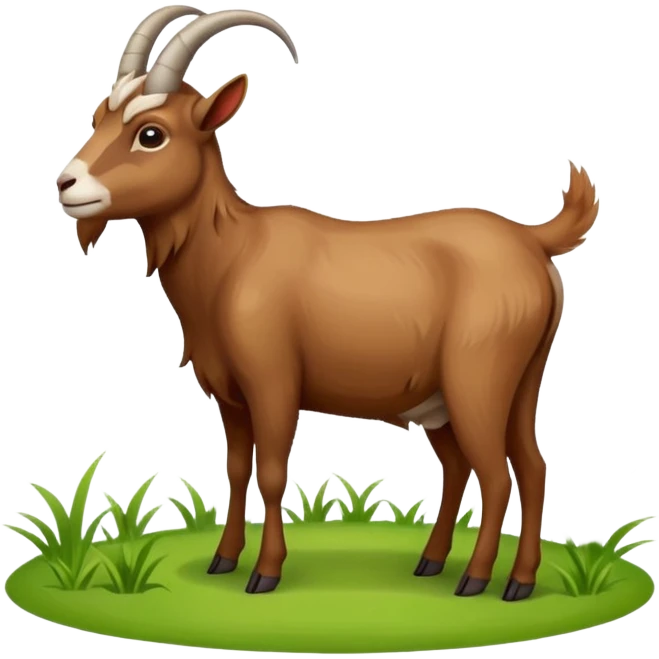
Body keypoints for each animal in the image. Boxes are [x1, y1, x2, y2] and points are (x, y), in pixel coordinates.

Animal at [56, 6, 600, 601]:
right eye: (98, 118)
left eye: (150, 133)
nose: (67, 183)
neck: (234, 252)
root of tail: (533, 239)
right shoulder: (230, 395)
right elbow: (237, 471)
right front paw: (224, 560)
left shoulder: (273, 383)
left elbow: (272, 473)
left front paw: (266, 573)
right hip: (502, 388)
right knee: (513, 466)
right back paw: (472, 570)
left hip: (478, 380)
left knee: (499, 474)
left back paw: (479, 580)